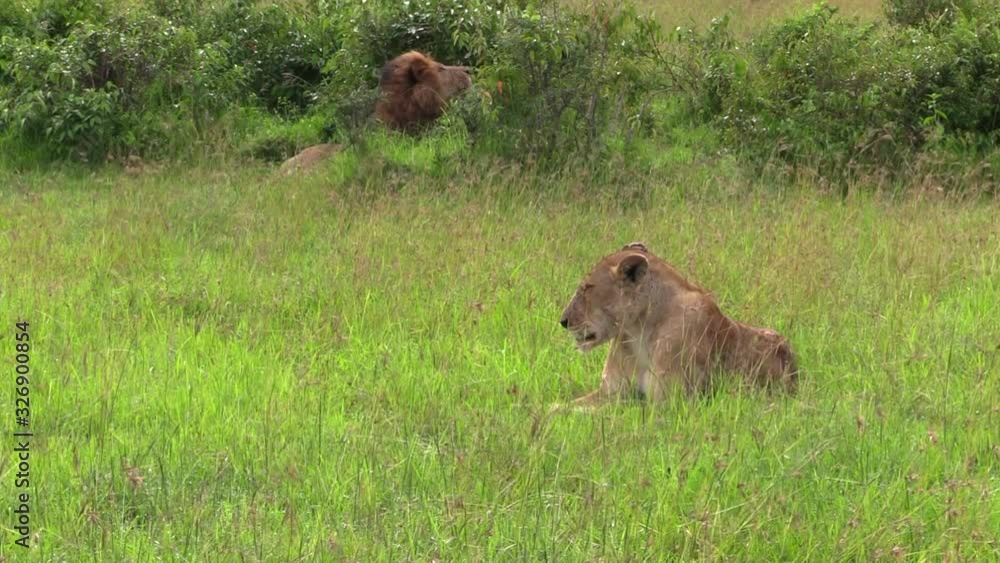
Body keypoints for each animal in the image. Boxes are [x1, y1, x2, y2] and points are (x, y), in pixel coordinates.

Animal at [555, 242, 798, 409]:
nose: (563, 322)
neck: (638, 330)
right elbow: (559, 407)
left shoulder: (667, 402)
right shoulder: (609, 391)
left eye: (587, 288)